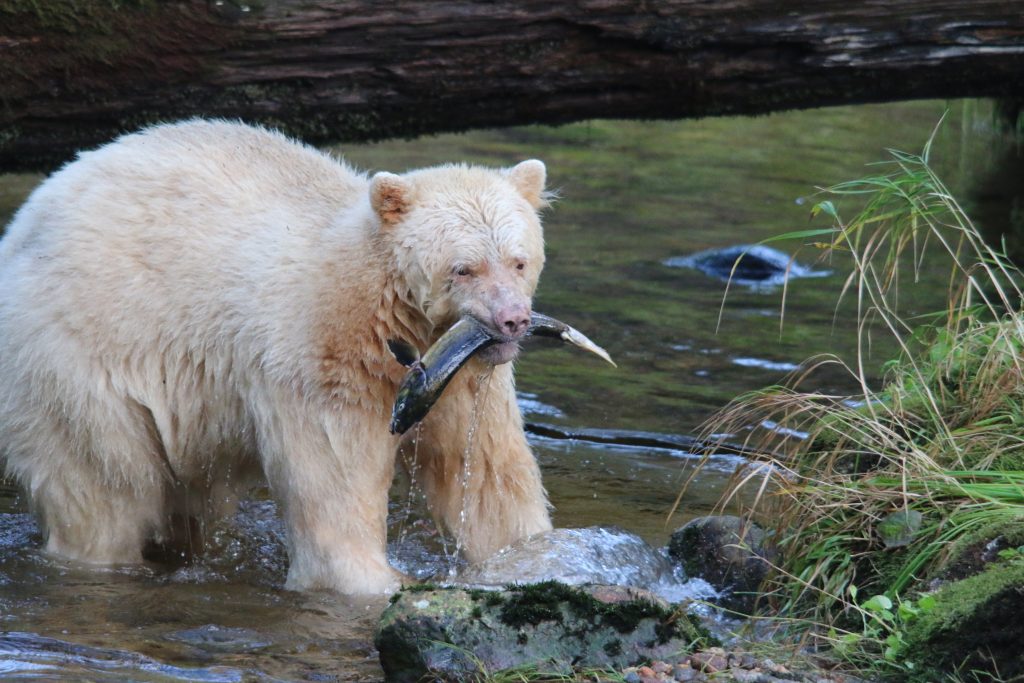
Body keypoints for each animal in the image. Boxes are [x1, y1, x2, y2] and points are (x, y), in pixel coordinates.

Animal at [0, 119, 554, 594]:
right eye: (464, 268)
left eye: (518, 260)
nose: (512, 320)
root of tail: (25, 223)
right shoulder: (327, 360)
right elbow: (336, 485)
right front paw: (377, 580)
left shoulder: (463, 377)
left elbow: (485, 476)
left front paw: (530, 556)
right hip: (78, 353)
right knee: (103, 486)